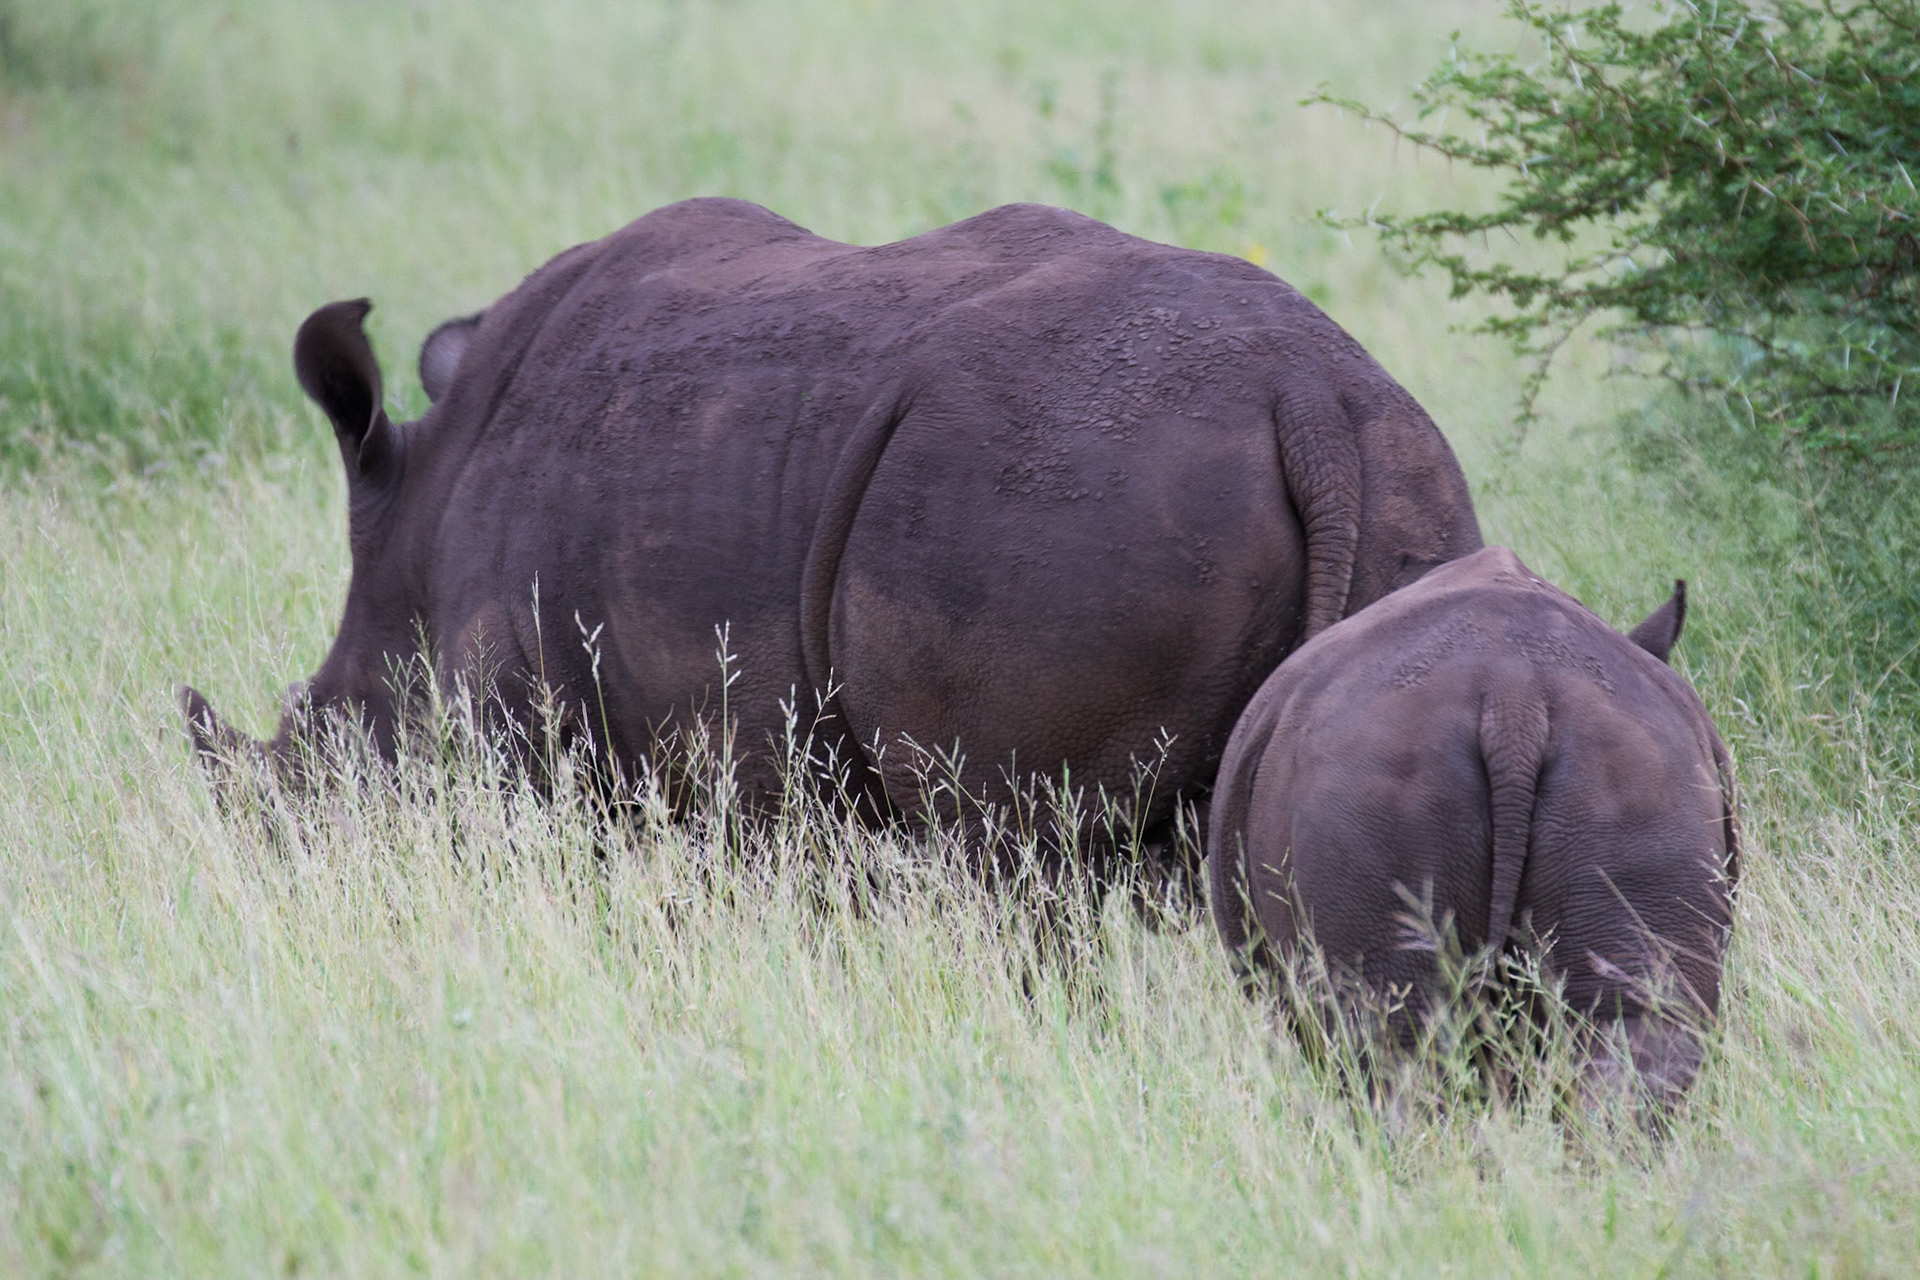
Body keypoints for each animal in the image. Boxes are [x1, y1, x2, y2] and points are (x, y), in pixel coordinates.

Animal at [181, 198, 1482, 849]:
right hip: (1402, 477)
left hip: (1059, 510)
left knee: (1016, 859)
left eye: (310, 759)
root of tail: (1307, 399)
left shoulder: (549, 742)